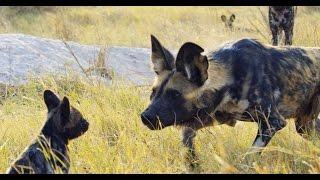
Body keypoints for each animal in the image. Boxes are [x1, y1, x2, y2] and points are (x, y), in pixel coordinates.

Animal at [141, 35, 320, 169]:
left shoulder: (272, 122)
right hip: (305, 127)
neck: (231, 77)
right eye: (153, 92)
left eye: (175, 94)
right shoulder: (211, 117)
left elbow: (248, 157)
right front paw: (193, 165)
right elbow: (187, 140)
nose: (145, 117)